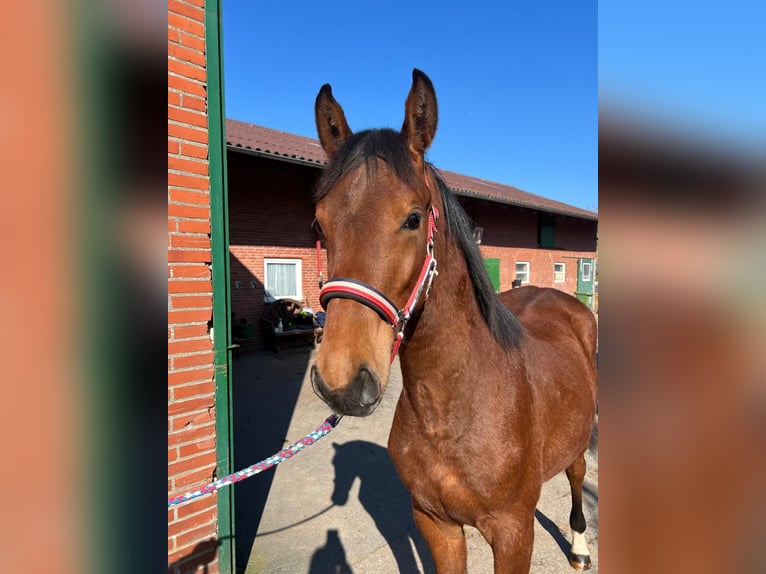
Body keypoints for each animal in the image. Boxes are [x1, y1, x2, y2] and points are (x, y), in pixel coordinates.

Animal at [310, 69, 598, 574]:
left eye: (413, 218)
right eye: (320, 224)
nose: (341, 381)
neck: (449, 412)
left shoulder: (513, 532)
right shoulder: (435, 523)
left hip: (580, 440)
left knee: (578, 472)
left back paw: (580, 545)